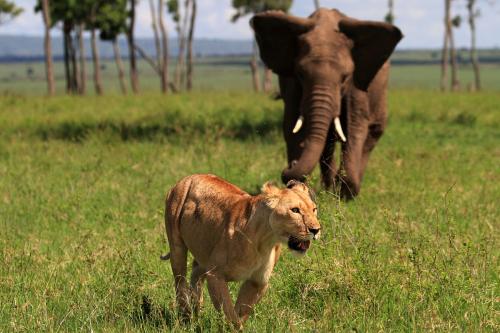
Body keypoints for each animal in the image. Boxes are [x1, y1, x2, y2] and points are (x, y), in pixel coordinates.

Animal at [250, 8, 402, 200]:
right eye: (301, 74)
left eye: (345, 78)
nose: (290, 164)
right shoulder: (292, 85)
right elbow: (292, 127)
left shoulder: (357, 86)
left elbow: (355, 128)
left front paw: (344, 193)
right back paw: (328, 188)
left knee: (371, 135)